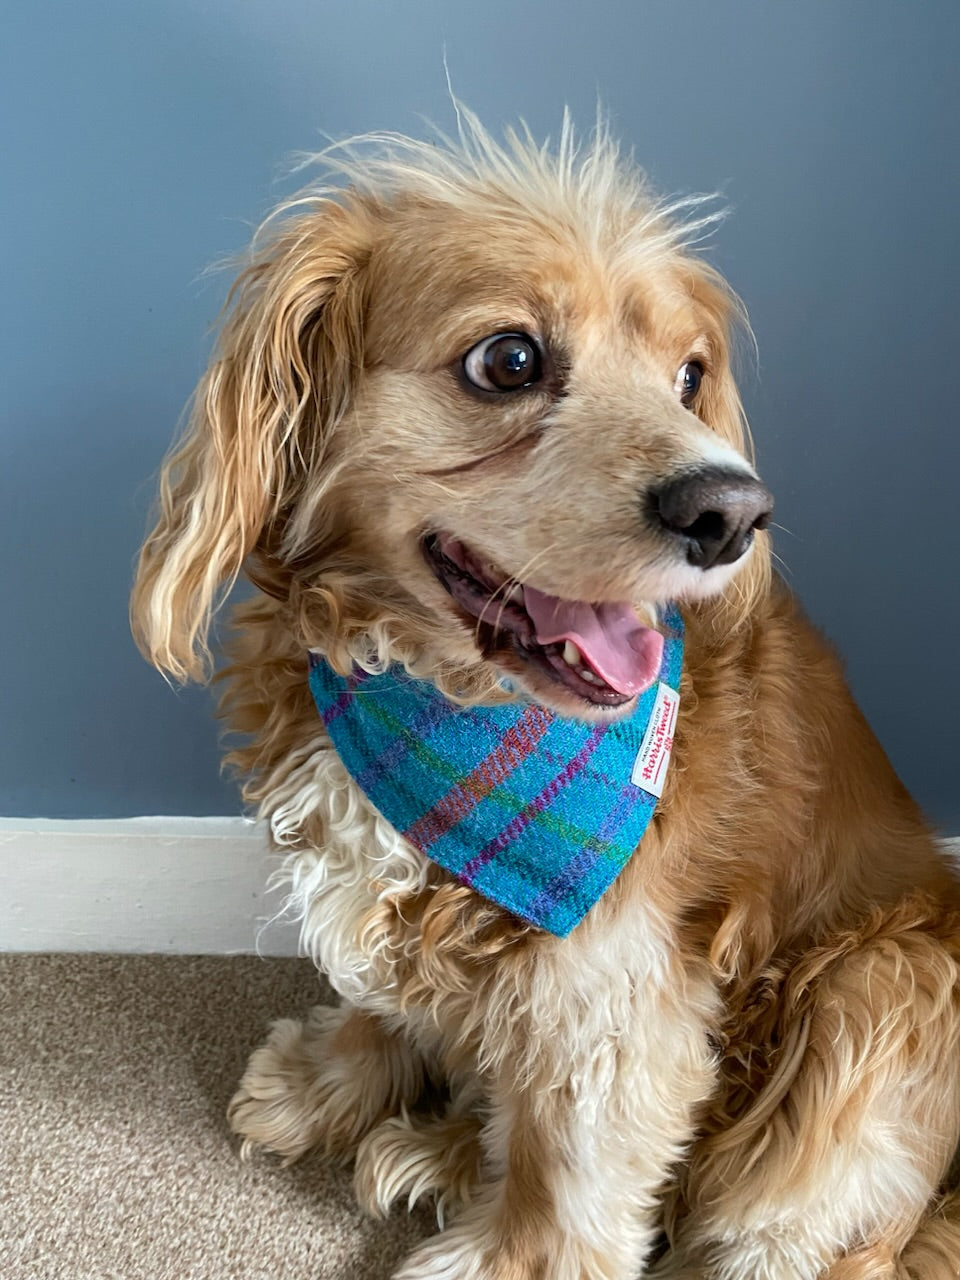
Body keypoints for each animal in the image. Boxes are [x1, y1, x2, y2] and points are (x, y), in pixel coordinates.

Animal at [129, 115, 960, 1274]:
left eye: (689, 376)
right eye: (510, 359)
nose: (733, 512)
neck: (435, 699)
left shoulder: (616, 982)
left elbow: (571, 1153)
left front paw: (508, 1255)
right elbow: (380, 992)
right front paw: (327, 1085)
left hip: (878, 986)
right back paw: (436, 1146)